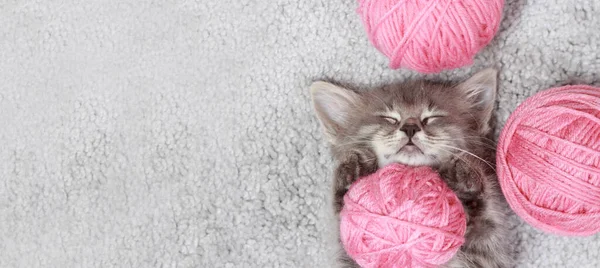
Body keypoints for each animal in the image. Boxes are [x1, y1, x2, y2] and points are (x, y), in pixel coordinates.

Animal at [312, 69, 512, 268]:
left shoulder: (484, 249)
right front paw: (351, 171)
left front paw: (465, 178)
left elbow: (484, 220)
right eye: (389, 118)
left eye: (431, 118)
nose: (410, 127)